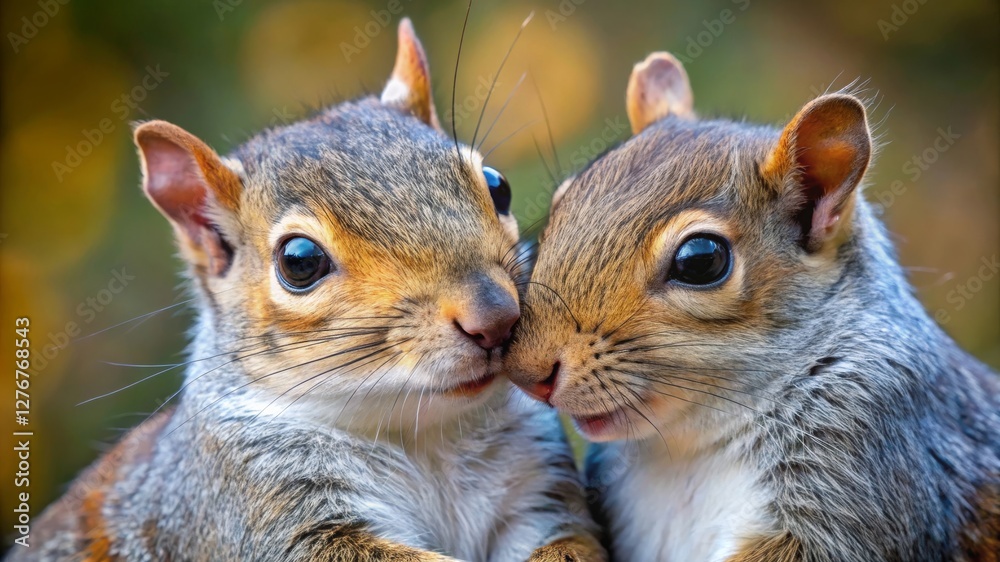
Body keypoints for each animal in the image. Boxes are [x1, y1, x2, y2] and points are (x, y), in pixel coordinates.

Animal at [12, 20, 605, 562]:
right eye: (299, 261)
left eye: (497, 185)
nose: (496, 318)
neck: (423, 434)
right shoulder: (260, 514)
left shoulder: (536, 495)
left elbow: (568, 541)